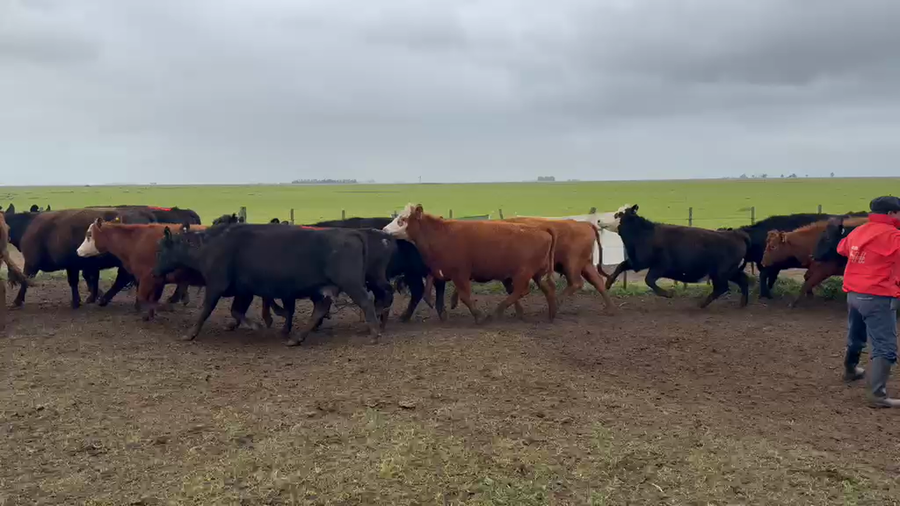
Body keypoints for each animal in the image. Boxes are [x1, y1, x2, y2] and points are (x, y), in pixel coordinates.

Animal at [4, 206, 160, 309]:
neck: (27, 225)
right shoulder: (75, 265)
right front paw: (84, 298)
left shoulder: (32, 263)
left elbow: (25, 280)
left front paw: (17, 301)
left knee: (123, 279)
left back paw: (108, 300)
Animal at [152, 223, 382, 345]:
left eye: (161, 249)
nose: (154, 272)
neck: (208, 245)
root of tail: (351, 232)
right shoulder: (243, 290)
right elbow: (236, 311)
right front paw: (255, 325)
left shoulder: (216, 285)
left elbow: (206, 310)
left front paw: (190, 333)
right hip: (323, 289)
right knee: (320, 309)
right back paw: (297, 338)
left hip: (350, 283)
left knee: (366, 301)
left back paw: (374, 334)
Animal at [383, 203, 558, 323]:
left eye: (402, 220)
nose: (384, 230)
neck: (441, 234)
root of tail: (543, 229)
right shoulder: (440, 269)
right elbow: (428, 287)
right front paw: (434, 302)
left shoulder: (460, 273)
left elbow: (465, 296)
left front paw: (478, 316)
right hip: (537, 274)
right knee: (548, 290)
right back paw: (551, 315)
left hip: (523, 273)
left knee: (521, 291)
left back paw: (496, 313)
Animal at [604, 205, 750, 308]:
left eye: (618, 214)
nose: (600, 220)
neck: (645, 234)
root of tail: (736, 235)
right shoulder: (638, 262)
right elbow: (621, 265)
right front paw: (608, 282)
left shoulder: (660, 266)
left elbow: (648, 280)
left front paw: (668, 293)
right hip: (730, 271)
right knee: (743, 279)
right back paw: (742, 303)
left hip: (720, 273)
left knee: (722, 288)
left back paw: (701, 304)